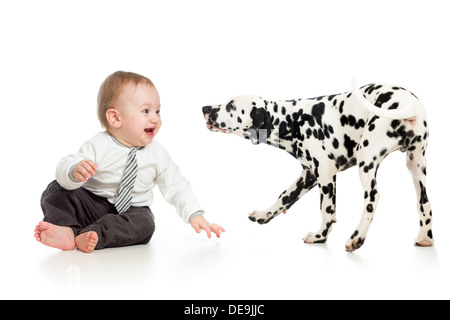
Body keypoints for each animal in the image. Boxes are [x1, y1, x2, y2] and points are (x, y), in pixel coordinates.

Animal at [203, 79, 432, 251]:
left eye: (231, 106)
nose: (205, 107)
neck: (292, 120)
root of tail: (407, 103)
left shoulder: (325, 175)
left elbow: (326, 210)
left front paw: (320, 236)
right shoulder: (308, 175)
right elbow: (284, 197)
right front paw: (264, 215)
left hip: (366, 160)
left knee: (372, 199)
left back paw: (356, 237)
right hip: (416, 168)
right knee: (424, 204)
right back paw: (425, 238)